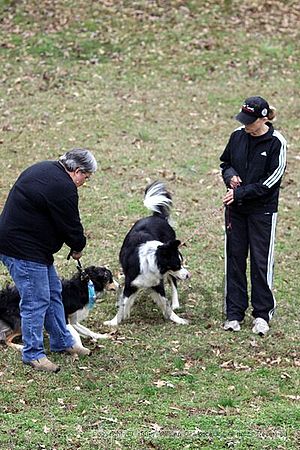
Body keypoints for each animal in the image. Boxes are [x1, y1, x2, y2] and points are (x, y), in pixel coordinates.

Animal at [104, 180, 191, 326]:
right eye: (177, 265)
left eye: (182, 263)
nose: (188, 275)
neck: (150, 261)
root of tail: (157, 216)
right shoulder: (131, 283)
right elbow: (124, 302)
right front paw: (114, 321)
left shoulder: (157, 284)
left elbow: (166, 303)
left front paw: (177, 318)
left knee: (173, 283)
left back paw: (176, 303)